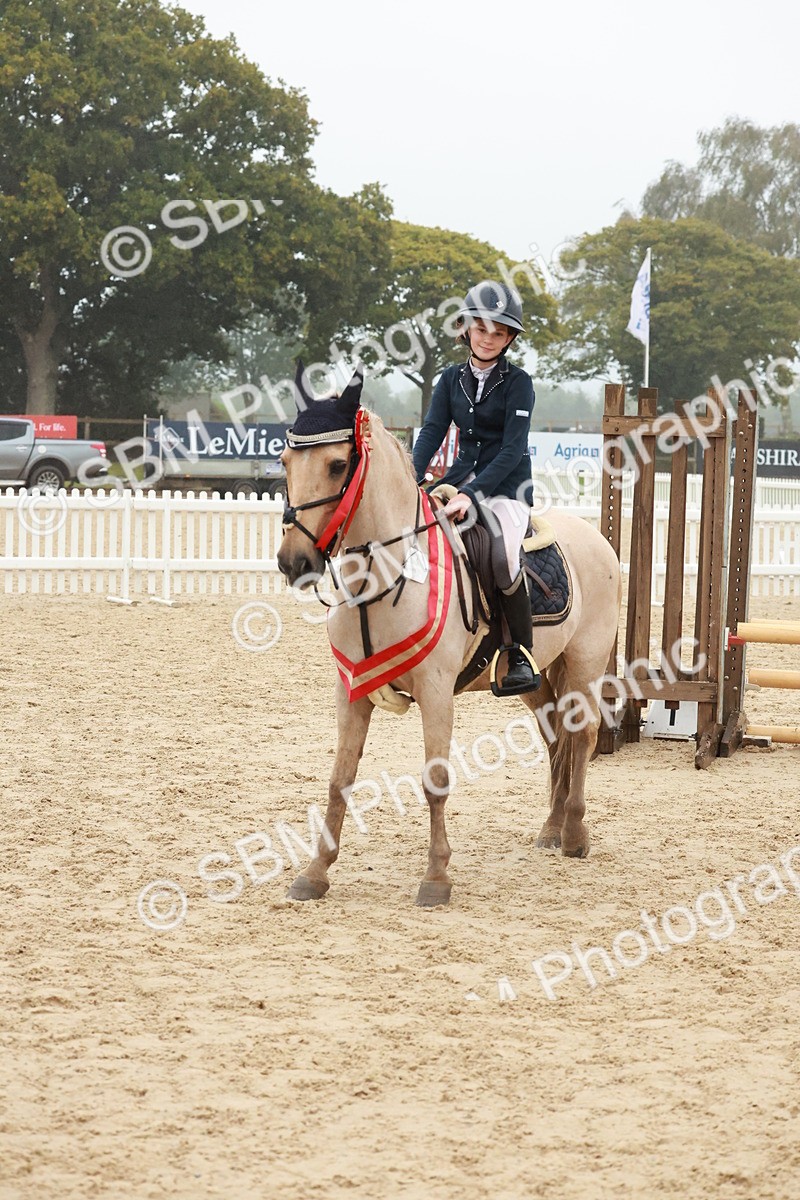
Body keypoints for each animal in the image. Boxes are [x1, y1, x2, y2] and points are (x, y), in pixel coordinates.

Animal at [277, 372, 622, 907]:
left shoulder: (437, 692)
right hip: (538, 676)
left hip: (585, 661)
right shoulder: (350, 692)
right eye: (285, 462)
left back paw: (575, 835)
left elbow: (435, 779)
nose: (294, 562)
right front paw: (315, 873)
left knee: (581, 735)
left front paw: (436, 877)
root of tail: (595, 537)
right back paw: (550, 828)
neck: (382, 576)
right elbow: (340, 780)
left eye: (337, 465)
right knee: (554, 736)